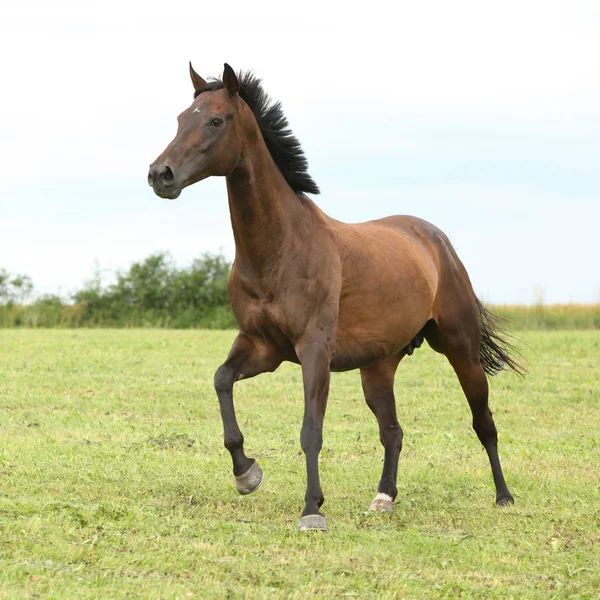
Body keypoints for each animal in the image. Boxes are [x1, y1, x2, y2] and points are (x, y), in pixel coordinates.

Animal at [148, 64, 524, 528]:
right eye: (182, 118)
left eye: (216, 120)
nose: (160, 174)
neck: (282, 248)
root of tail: (436, 240)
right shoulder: (261, 347)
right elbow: (221, 380)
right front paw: (246, 473)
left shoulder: (314, 350)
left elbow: (311, 430)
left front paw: (312, 510)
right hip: (378, 368)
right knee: (393, 432)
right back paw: (384, 497)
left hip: (460, 349)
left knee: (483, 422)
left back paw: (504, 496)